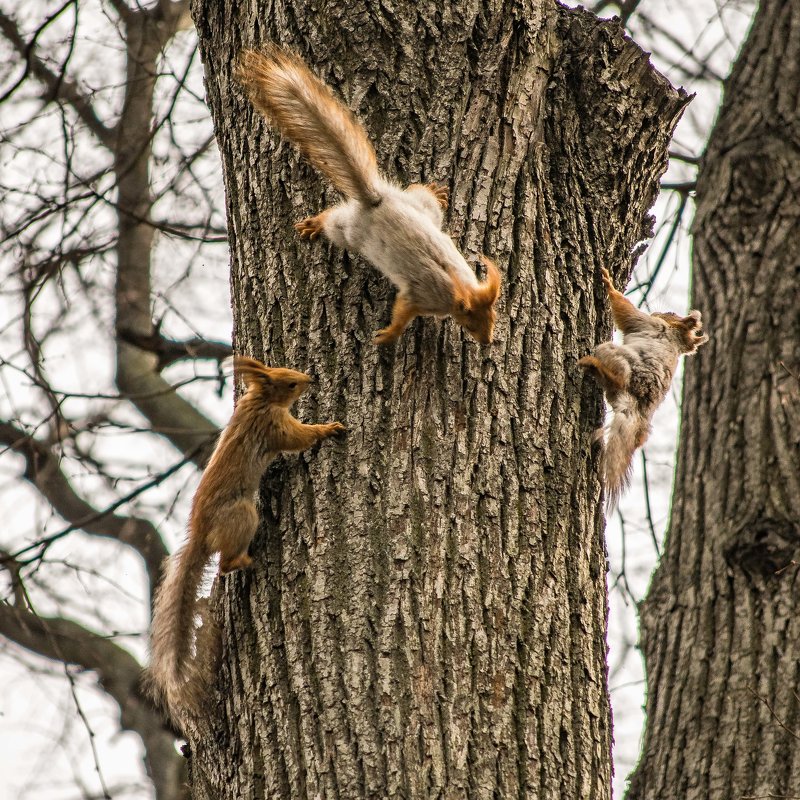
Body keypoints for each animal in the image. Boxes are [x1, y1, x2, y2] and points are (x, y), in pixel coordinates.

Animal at [145, 356, 346, 712]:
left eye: (290, 371)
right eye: (290, 383)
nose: (310, 379)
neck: (260, 401)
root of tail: (201, 534)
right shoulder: (274, 427)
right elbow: (299, 438)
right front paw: (328, 428)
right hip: (242, 516)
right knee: (225, 563)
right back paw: (246, 561)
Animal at [234, 43, 504, 344]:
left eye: (493, 317)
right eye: (470, 324)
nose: (488, 342)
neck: (461, 289)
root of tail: (377, 200)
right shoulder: (419, 296)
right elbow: (402, 313)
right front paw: (387, 335)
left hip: (420, 208)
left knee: (420, 194)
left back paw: (435, 192)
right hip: (351, 232)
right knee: (332, 222)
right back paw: (315, 224)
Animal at [580, 268, 708, 506]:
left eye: (670, 313)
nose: (658, 311)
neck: (676, 338)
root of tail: (638, 406)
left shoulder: (648, 323)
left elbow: (625, 310)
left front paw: (609, 284)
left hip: (615, 356)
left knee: (616, 377)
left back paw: (594, 366)